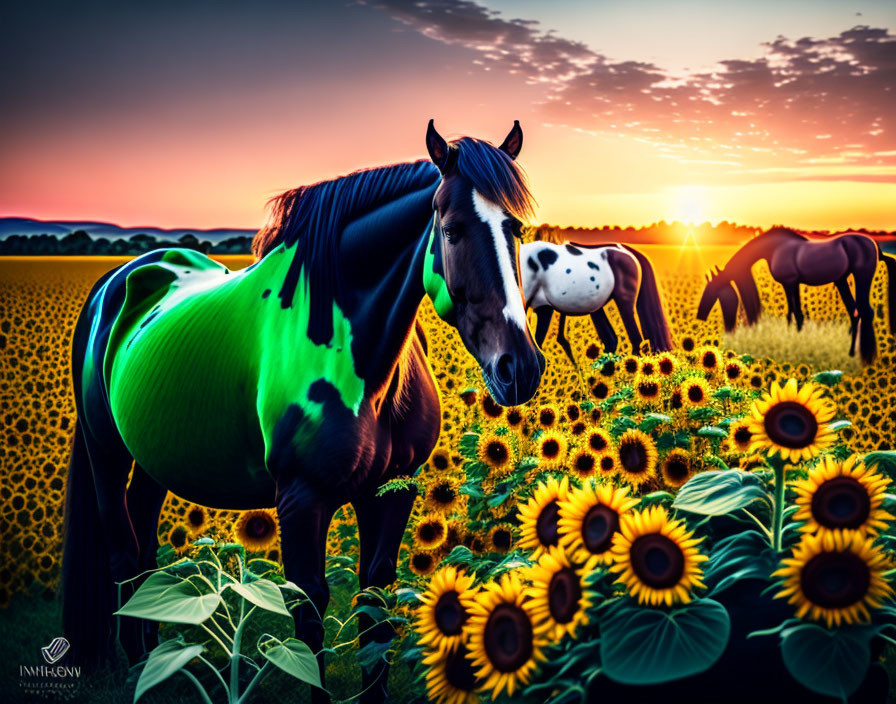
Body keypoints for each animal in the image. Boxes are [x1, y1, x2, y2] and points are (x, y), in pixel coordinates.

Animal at [63, 121, 544, 700]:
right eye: (450, 232)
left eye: (516, 229)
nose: (519, 367)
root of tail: (118, 282)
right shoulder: (300, 498)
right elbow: (309, 611)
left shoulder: (393, 493)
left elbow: (375, 607)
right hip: (106, 453)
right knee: (122, 554)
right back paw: (139, 667)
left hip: (155, 461)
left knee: (144, 551)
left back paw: (158, 657)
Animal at [700, 228, 896, 364]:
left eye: (712, 290)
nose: (701, 315)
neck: (776, 248)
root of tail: (875, 245)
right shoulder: (792, 284)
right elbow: (795, 313)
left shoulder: (790, 283)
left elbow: (794, 312)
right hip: (841, 281)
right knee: (854, 312)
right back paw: (851, 353)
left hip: (861, 276)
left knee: (865, 311)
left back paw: (866, 357)